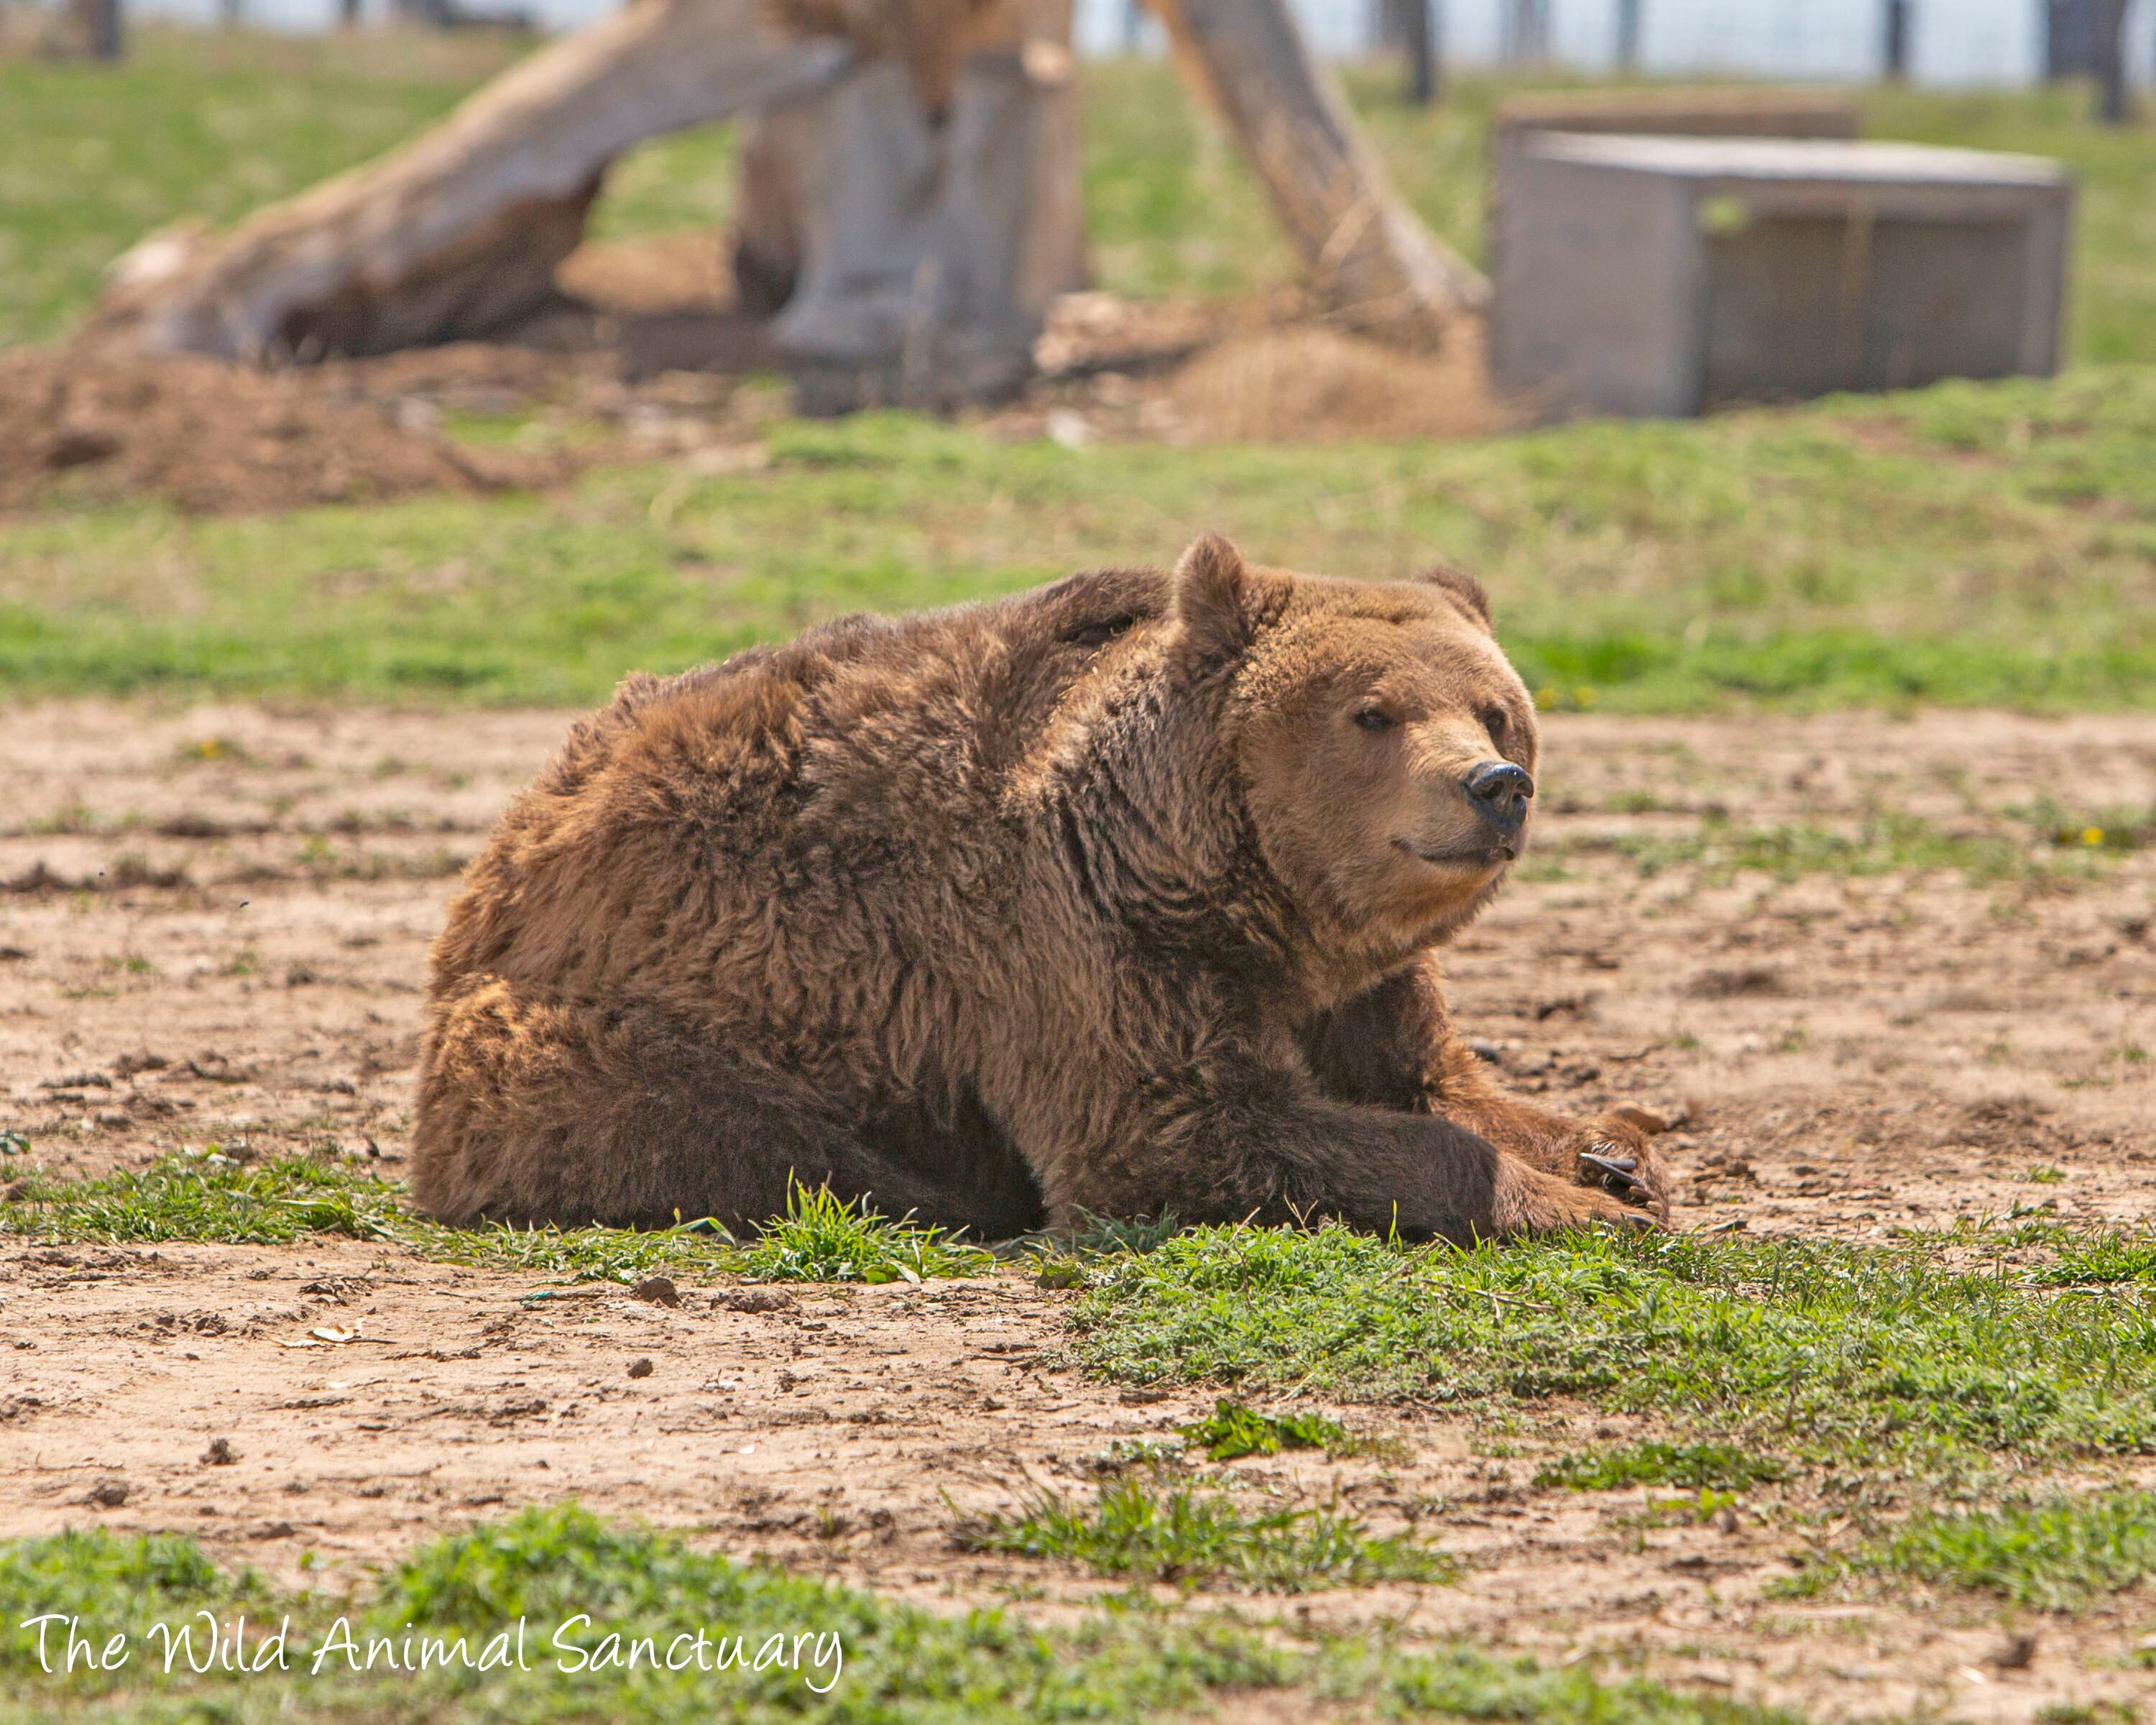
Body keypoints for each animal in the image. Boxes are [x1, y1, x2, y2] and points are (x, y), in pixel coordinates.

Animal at [412, 535, 1656, 1242]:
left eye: (1496, 709)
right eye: (1374, 713)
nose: (1494, 786)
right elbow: (1180, 1130)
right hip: (604, 1022)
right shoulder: (1074, 942)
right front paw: (1583, 1206)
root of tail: (501, 850)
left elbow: (1433, 1078)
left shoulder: (1354, 978)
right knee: (744, 1132)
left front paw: (1615, 1154)